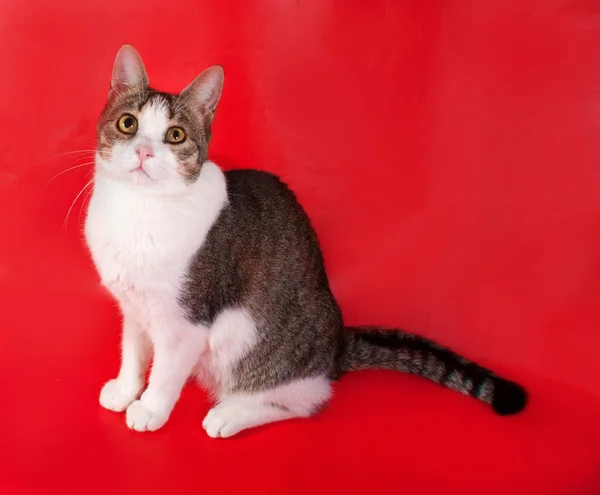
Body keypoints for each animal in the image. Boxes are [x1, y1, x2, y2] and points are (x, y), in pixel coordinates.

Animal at [83, 43, 524, 438]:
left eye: (175, 135)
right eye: (128, 124)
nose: (143, 152)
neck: (138, 210)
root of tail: (336, 347)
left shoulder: (187, 321)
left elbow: (166, 371)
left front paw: (150, 409)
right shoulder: (134, 306)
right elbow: (134, 351)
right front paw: (126, 390)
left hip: (252, 340)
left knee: (303, 400)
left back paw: (230, 414)